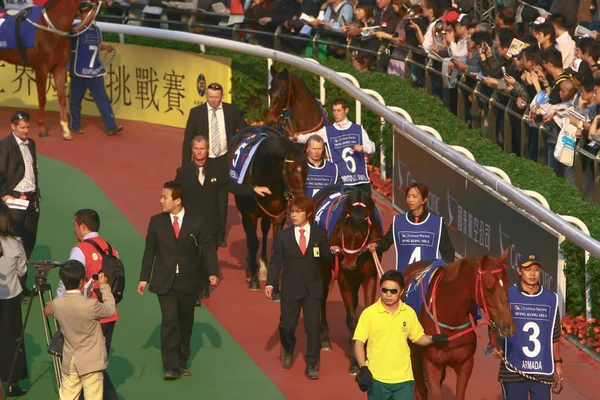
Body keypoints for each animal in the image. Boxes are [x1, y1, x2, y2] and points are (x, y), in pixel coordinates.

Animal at [0, 0, 101, 139]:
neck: (52, 29)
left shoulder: (59, 68)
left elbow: (62, 97)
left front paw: (65, 129)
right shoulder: (41, 68)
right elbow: (42, 98)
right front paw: (42, 129)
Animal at [227, 126, 308, 292]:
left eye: (306, 169)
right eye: (290, 169)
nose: (300, 200)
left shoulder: (279, 216)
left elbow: (276, 245)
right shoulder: (249, 215)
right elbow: (253, 242)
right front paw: (253, 278)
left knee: (264, 230)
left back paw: (263, 267)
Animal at [312, 184, 382, 376]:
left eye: (364, 233)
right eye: (344, 230)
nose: (348, 265)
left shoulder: (369, 276)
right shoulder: (344, 277)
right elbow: (353, 320)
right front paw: (355, 364)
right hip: (325, 267)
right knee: (322, 298)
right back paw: (325, 340)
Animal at [406, 250, 516, 400]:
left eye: (508, 286)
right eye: (489, 289)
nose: (508, 327)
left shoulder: (466, 363)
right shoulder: (431, 363)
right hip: (414, 355)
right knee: (421, 388)